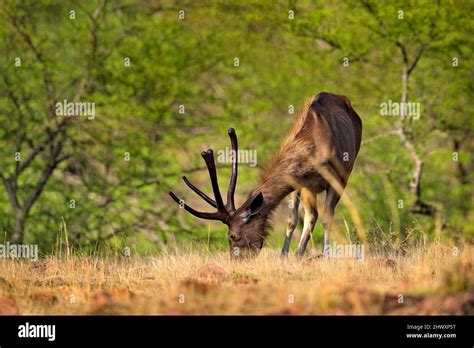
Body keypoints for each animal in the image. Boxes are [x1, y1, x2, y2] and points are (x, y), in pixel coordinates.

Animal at [169, 92, 362, 258]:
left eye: (232, 236)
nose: (236, 260)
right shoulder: (300, 183)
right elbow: (295, 219)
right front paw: (286, 256)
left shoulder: (337, 177)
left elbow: (326, 218)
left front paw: (325, 255)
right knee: (304, 217)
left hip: (347, 168)